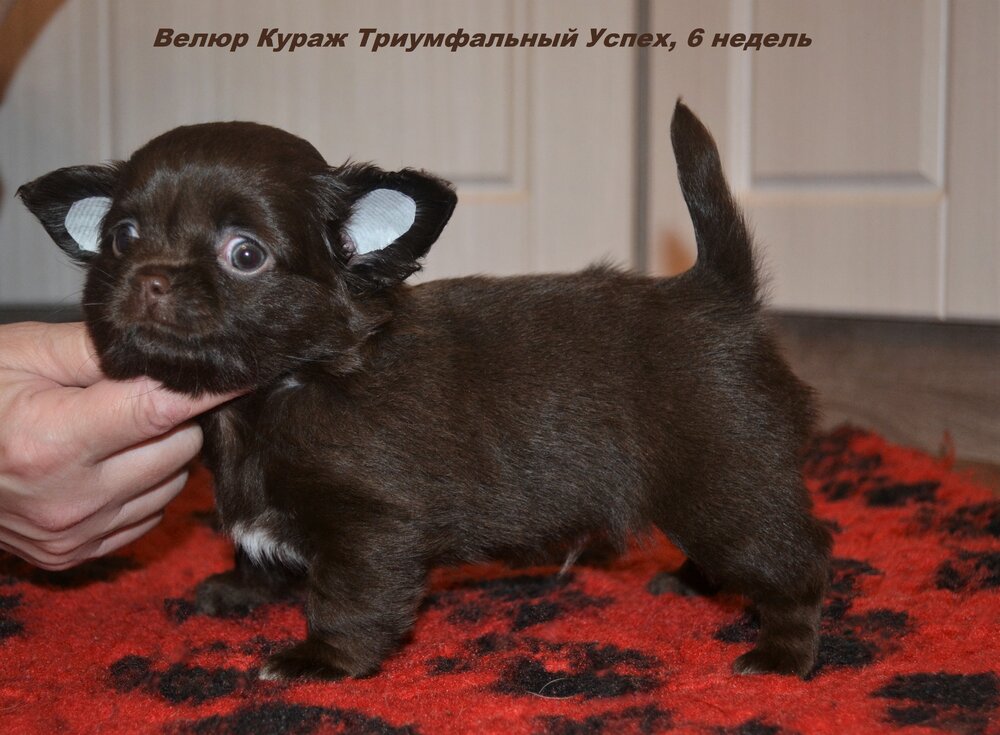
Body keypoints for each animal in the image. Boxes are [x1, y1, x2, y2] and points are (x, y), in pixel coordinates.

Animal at [19, 101, 831, 680]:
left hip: (725, 487)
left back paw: (784, 653)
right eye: (121, 237)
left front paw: (322, 660)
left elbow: (347, 597)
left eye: (244, 255)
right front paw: (242, 590)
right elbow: (259, 550)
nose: (149, 278)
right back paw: (696, 585)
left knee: (800, 561)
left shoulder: (374, 526)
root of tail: (718, 294)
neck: (277, 388)